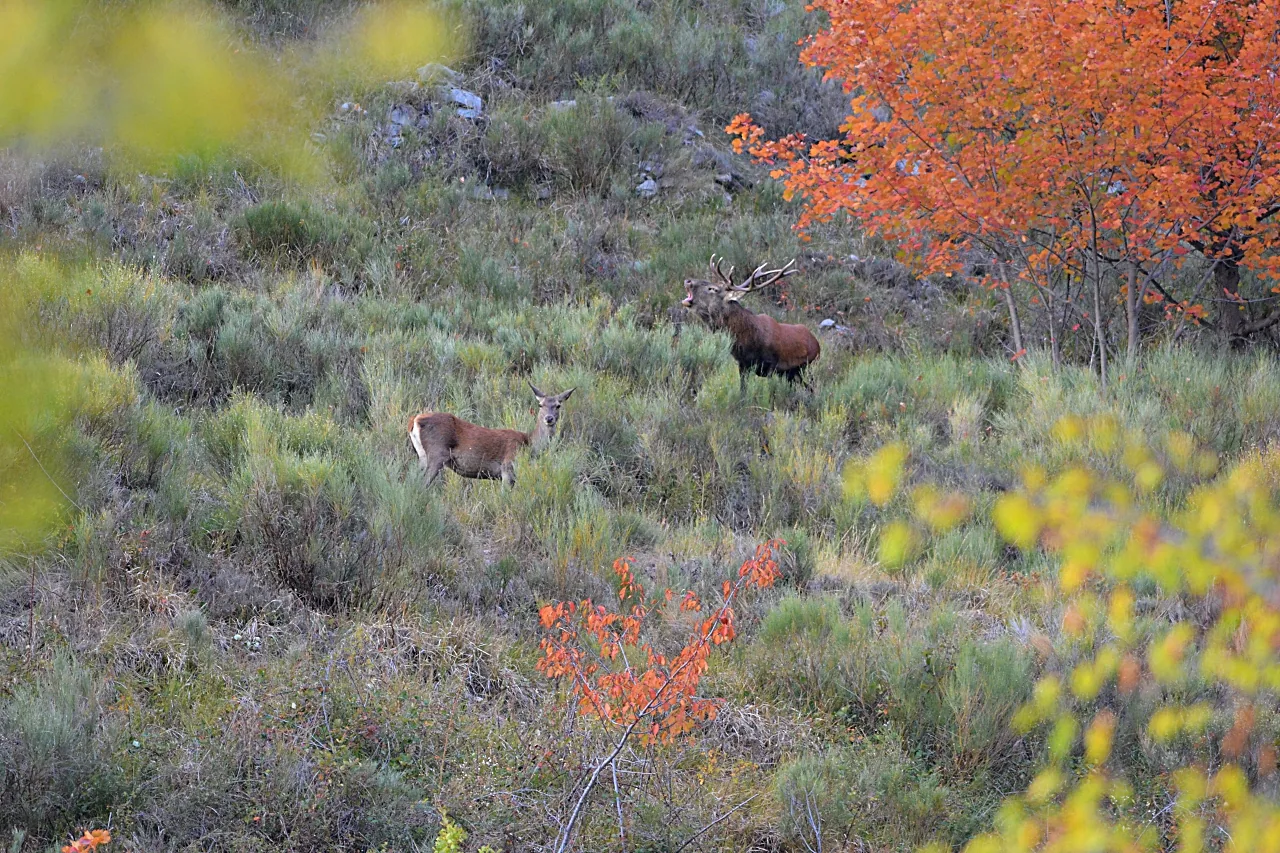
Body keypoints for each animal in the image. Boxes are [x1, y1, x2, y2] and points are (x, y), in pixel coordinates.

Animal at [407, 382, 575, 487]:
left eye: (558, 405)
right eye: (540, 405)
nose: (549, 418)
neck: (529, 445)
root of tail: (415, 420)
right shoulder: (507, 468)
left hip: (422, 456)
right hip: (437, 453)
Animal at [681, 256, 820, 390]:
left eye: (713, 289)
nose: (688, 281)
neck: (747, 341)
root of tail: (817, 345)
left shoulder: (772, 366)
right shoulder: (743, 365)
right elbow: (743, 390)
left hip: (807, 368)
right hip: (791, 374)